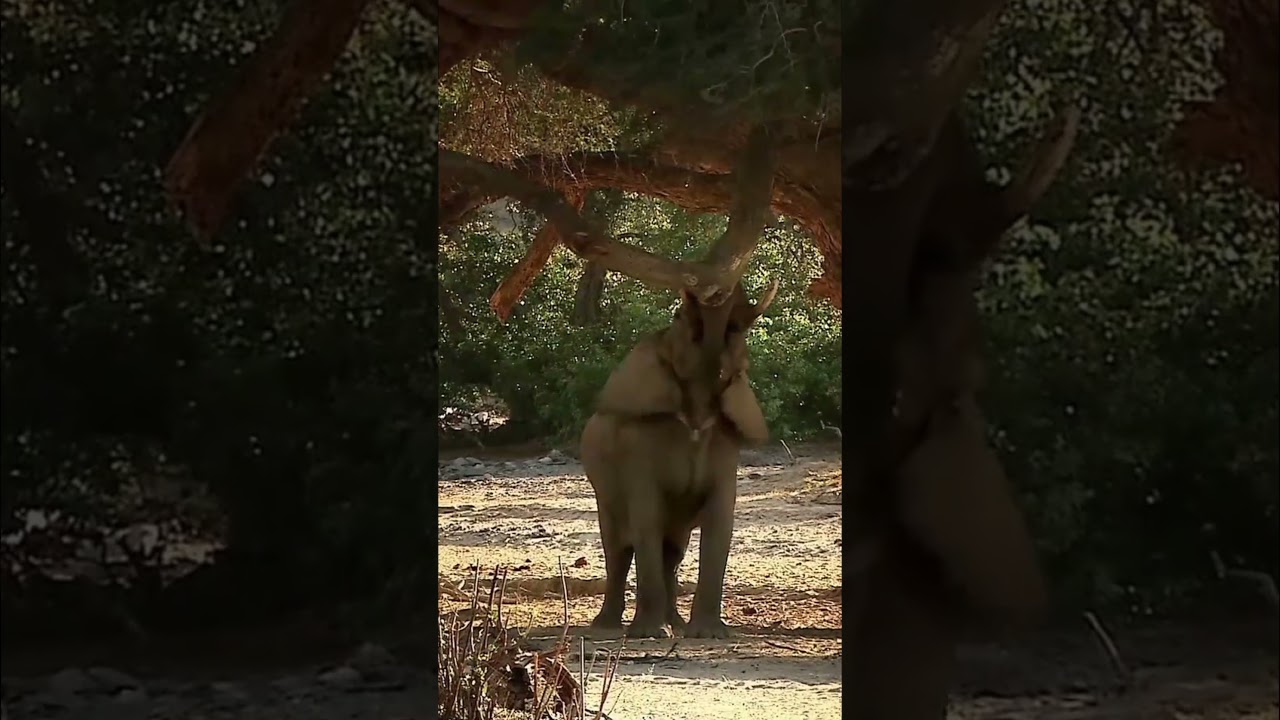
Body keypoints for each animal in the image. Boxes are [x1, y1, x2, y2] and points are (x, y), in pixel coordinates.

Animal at [579, 281, 777, 639]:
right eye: (679, 316)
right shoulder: (637, 449)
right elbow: (646, 519)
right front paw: (650, 634)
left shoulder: (726, 447)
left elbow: (720, 522)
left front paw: (710, 634)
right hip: (603, 490)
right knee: (619, 549)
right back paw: (608, 627)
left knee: (672, 551)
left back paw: (676, 624)